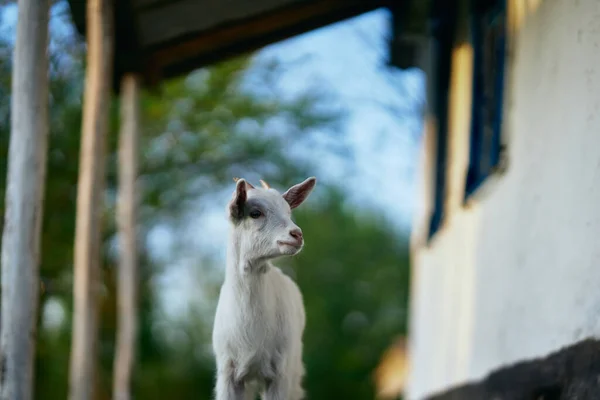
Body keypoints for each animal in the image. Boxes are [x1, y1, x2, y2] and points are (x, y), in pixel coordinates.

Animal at [211, 177, 316, 400]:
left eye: (288, 212)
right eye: (255, 213)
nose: (297, 234)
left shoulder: (280, 372)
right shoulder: (227, 371)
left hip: (294, 366)